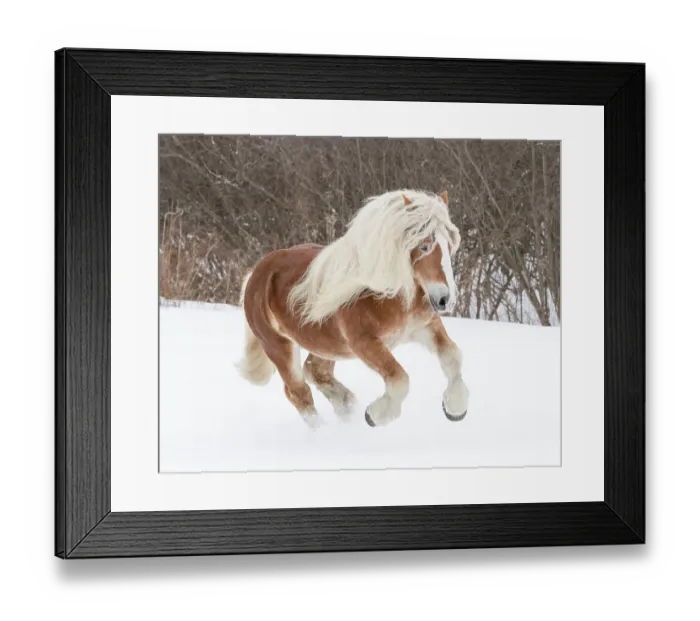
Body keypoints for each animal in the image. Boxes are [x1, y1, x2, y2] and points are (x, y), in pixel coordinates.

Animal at [235, 189, 470, 429]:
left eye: (450, 245)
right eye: (424, 245)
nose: (444, 299)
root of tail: (255, 274)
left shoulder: (426, 326)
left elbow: (452, 357)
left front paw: (455, 409)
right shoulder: (364, 343)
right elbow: (399, 379)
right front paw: (375, 415)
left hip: (327, 345)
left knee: (315, 371)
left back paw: (347, 408)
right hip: (279, 347)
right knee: (299, 392)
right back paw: (325, 430)